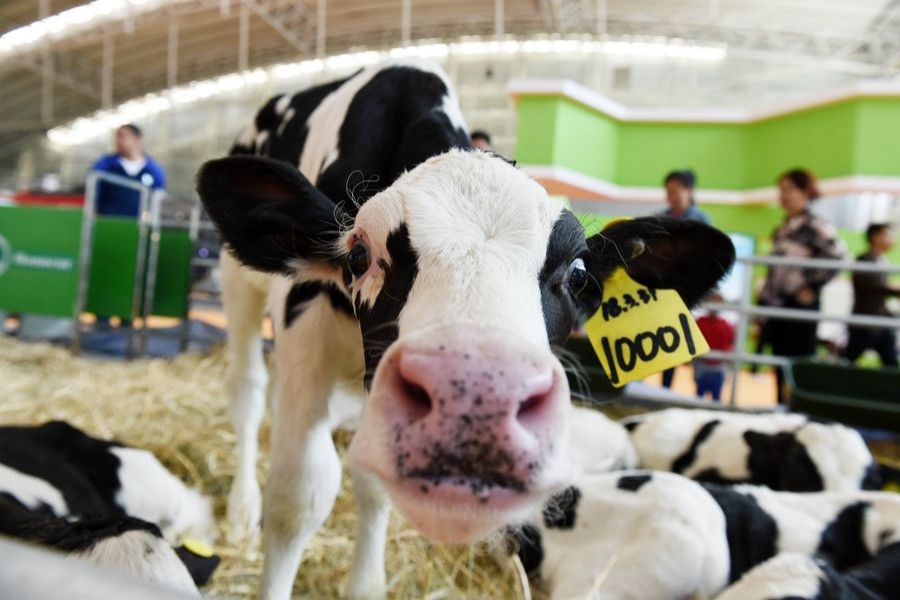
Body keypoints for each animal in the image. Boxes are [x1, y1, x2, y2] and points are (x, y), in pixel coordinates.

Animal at [197, 61, 735, 599]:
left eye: (580, 273)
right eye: (358, 254)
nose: (476, 402)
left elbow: (372, 483)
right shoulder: (306, 340)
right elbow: (297, 498)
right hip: (237, 283)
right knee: (248, 392)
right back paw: (242, 511)